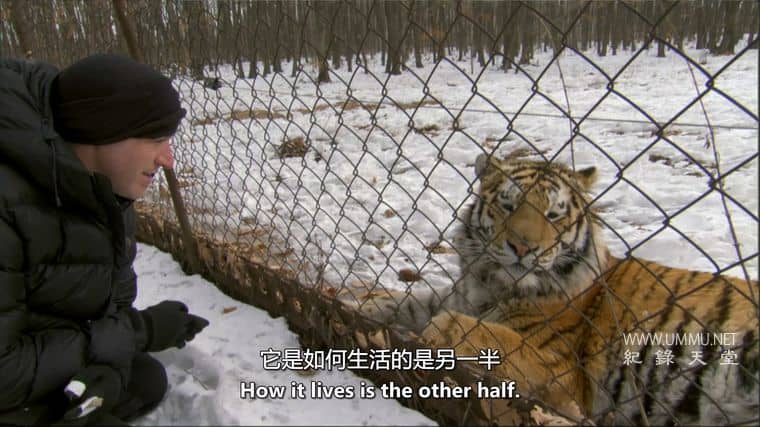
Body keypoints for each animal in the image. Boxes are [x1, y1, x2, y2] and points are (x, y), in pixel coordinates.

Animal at [343, 151, 759, 425]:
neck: (491, 284)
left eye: (554, 214)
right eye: (508, 205)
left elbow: (471, 329)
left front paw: (434, 335)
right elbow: (406, 303)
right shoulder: (456, 294)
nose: (523, 247)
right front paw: (354, 303)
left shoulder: (560, 370)